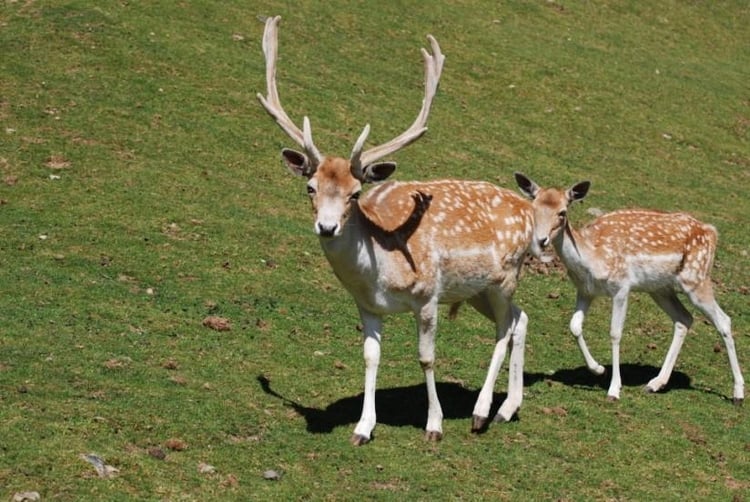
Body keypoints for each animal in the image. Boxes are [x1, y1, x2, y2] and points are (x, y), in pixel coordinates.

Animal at [258, 15, 536, 444]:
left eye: (355, 192)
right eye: (310, 187)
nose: (327, 226)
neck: (380, 272)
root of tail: (530, 210)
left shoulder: (427, 296)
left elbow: (426, 358)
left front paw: (434, 425)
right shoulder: (367, 305)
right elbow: (370, 357)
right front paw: (362, 427)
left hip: (506, 276)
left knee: (504, 329)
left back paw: (480, 412)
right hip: (478, 290)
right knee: (520, 319)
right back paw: (508, 408)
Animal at [516, 173, 748, 404]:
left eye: (563, 212)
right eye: (533, 207)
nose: (541, 240)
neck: (592, 257)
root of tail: (712, 232)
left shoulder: (621, 286)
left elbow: (615, 333)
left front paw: (614, 389)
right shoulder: (585, 290)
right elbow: (574, 326)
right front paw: (598, 369)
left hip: (697, 279)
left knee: (723, 320)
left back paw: (738, 393)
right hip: (660, 289)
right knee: (684, 319)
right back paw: (655, 384)